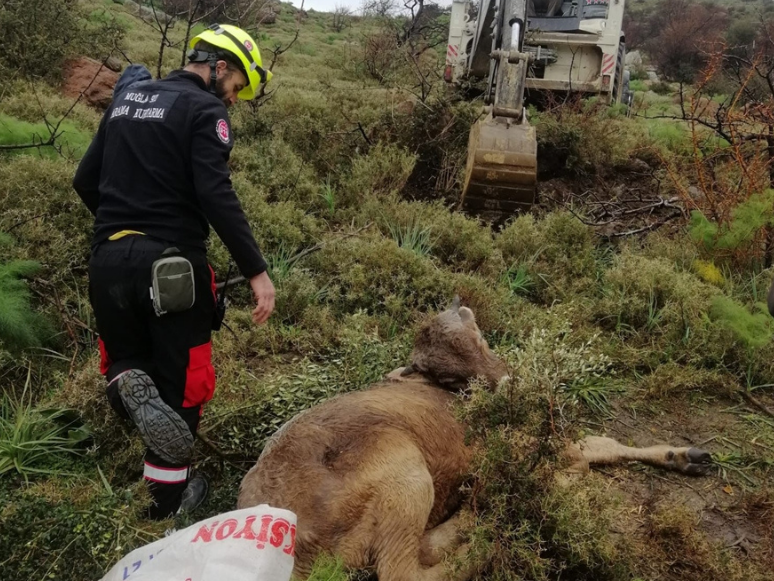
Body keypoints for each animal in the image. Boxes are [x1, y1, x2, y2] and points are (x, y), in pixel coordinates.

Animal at [238, 300, 716, 580]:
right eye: (449, 378)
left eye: (481, 337)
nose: (507, 384)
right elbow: (588, 452)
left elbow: (600, 444)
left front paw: (688, 455)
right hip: (405, 474)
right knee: (403, 569)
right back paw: (485, 537)